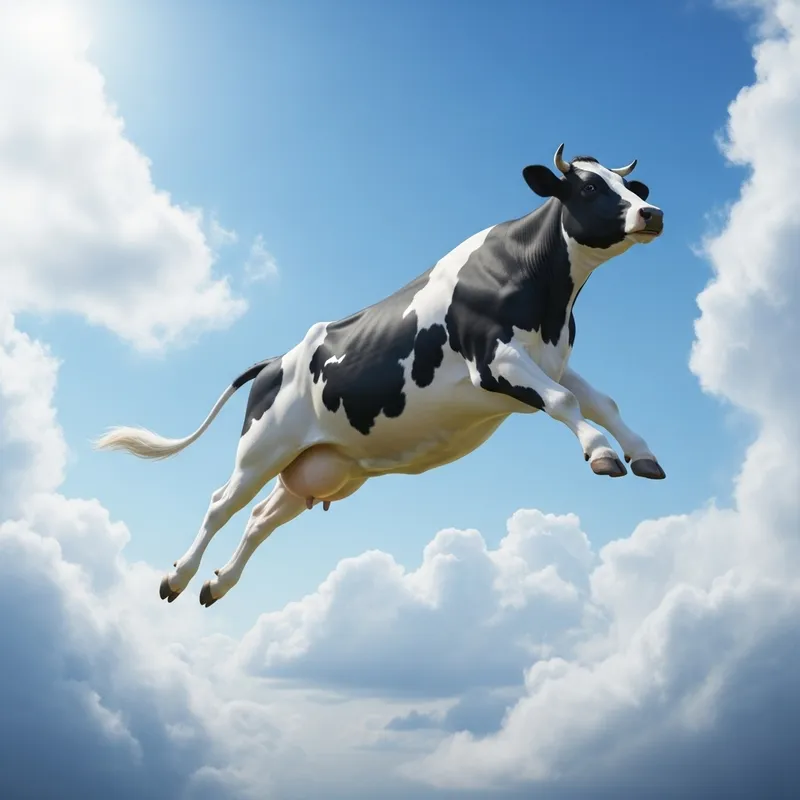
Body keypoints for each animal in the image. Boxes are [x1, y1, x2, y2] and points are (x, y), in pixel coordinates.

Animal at [94, 144, 666, 608]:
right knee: (220, 505)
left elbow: (602, 401)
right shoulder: (494, 361)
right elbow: (566, 403)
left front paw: (642, 454)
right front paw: (602, 453)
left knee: (260, 519)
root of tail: (274, 361)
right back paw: (177, 578)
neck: (549, 300)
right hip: (263, 447)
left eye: (630, 186)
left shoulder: (551, 361)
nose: (652, 212)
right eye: (590, 187)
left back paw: (217, 585)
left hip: (319, 464)